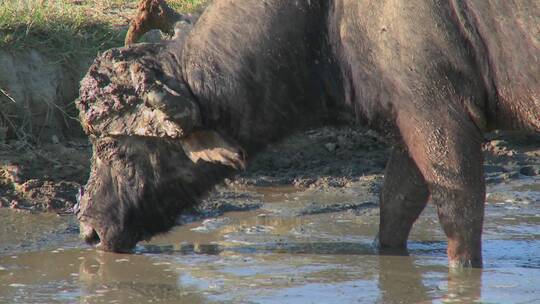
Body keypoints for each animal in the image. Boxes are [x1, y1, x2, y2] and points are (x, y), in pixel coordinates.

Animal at [75, 0, 536, 268]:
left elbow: (459, 213)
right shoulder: (409, 123)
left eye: (116, 149)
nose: (89, 232)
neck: (328, 19)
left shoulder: (441, 115)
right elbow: (396, 204)